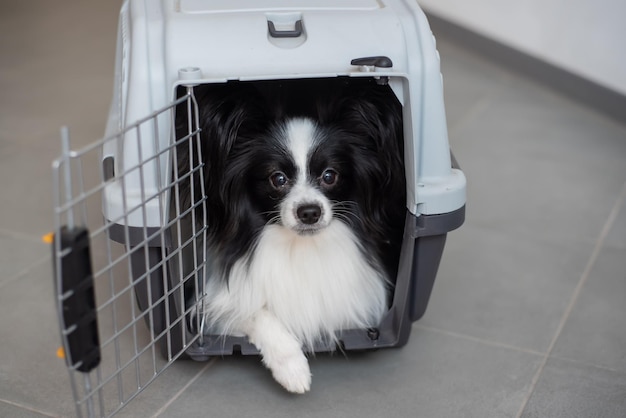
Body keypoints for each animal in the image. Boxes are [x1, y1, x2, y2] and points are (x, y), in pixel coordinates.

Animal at [176, 77, 404, 392]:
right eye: (278, 179)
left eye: (330, 175)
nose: (309, 212)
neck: (300, 247)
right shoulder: (210, 304)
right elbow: (256, 311)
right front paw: (293, 368)